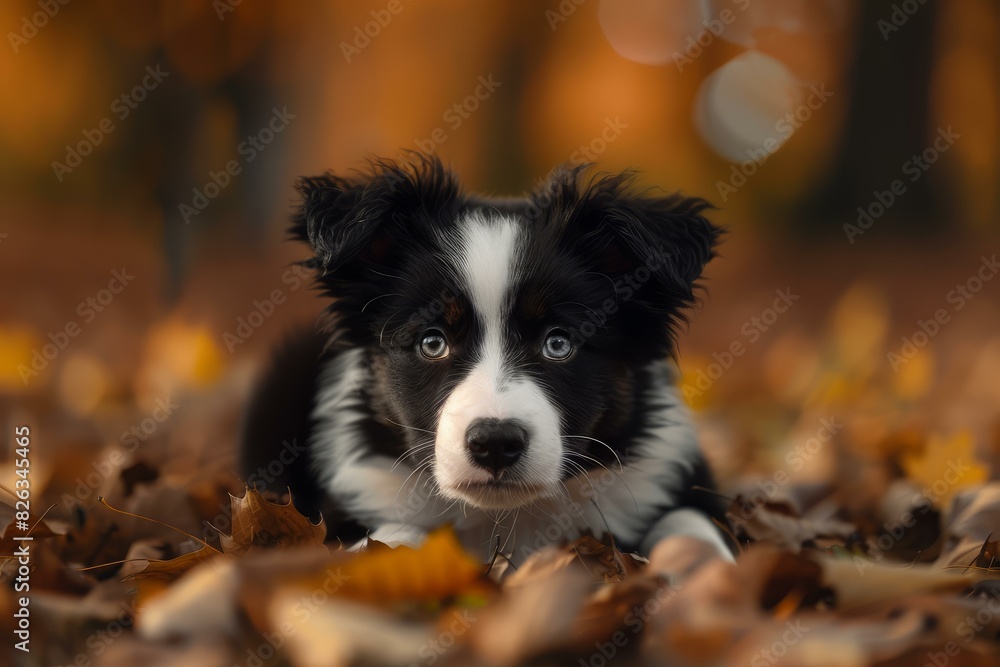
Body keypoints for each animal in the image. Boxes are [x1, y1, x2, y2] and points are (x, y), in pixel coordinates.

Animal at [238, 155, 732, 564]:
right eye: (432, 342)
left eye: (559, 344)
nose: (495, 443)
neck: (505, 519)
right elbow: (393, 537)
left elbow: (689, 522)